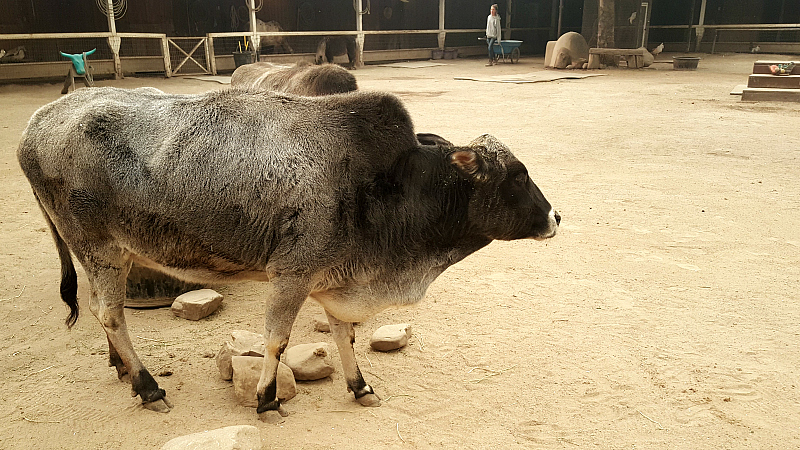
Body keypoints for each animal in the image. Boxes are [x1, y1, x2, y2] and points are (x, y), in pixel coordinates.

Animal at [17, 88, 556, 418]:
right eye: (518, 176)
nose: (555, 218)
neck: (388, 186)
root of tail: (36, 123)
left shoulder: (336, 279)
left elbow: (343, 336)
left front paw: (360, 386)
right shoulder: (292, 276)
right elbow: (275, 340)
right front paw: (267, 399)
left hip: (109, 255)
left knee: (102, 311)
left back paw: (122, 368)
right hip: (101, 249)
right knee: (109, 313)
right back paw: (148, 386)